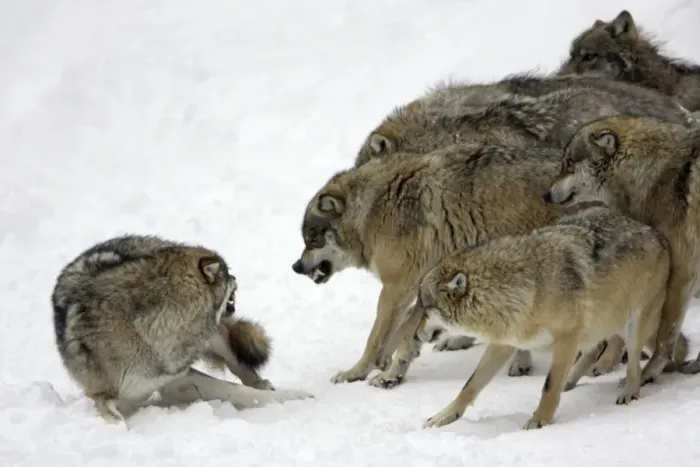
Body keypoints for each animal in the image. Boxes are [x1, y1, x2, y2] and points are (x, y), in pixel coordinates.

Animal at [52, 234, 312, 423]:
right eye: (228, 274)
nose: (236, 277)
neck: (144, 331)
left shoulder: (178, 376)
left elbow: (239, 391)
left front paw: (295, 396)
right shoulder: (103, 396)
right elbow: (117, 420)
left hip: (213, 336)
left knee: (238, 361)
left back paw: (263, 383)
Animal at [291, 139, 577, 386]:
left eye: (312, 239)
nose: (296, 266)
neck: (373, 211)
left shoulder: (395, 289)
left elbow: (376, 338)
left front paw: (357, 372)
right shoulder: (423, 289)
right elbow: (407, 335)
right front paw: (390, 373)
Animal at [407, 205, 674, 431]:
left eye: (424, 307)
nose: (415, 335)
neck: (525, 292)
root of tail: (656, 234)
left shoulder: (567, 337)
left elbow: (548, 385)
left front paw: (539, 420)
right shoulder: (505, 344)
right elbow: (469, 385)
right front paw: (445, 416)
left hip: (632, 325)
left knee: (634, 363)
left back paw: (629, 392)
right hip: (599, 324)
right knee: (595, 349)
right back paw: (571, 381)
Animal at [544, 114, 700, 383]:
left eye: (569, 164)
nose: (545, 194)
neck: (650, 175)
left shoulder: (680, 273)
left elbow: (664, 335)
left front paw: (647, 373)